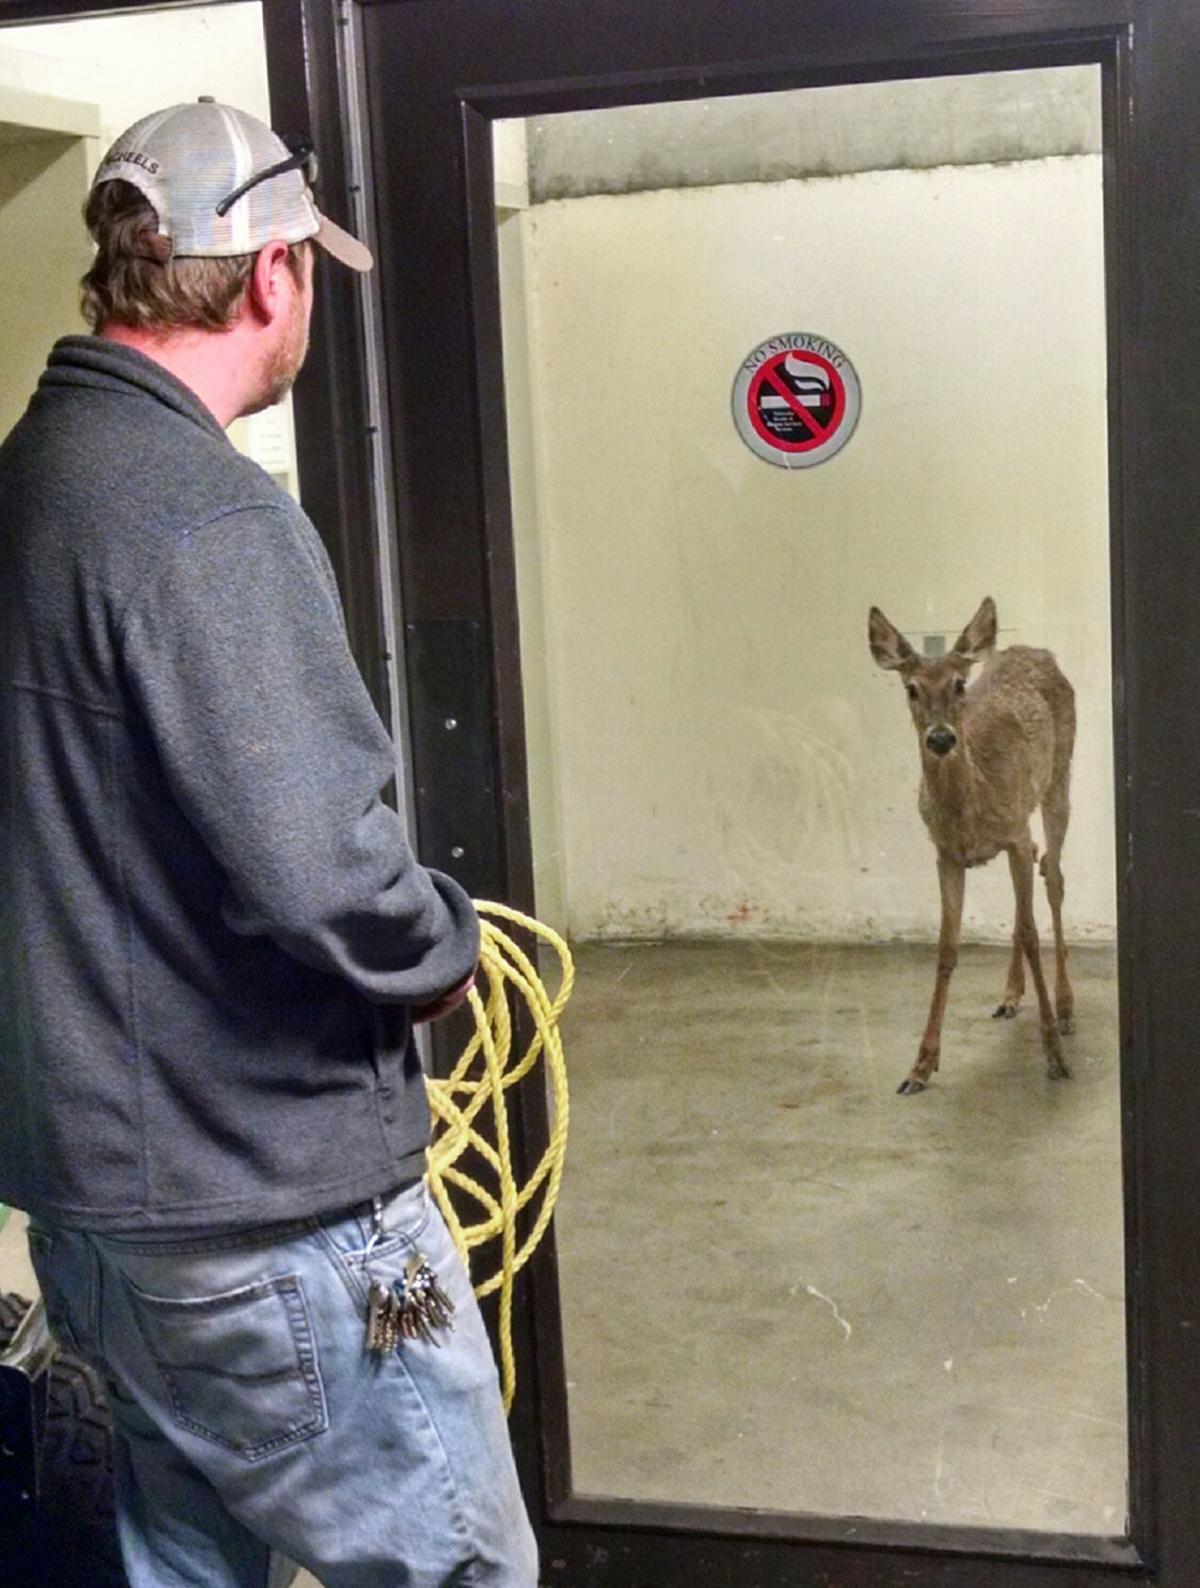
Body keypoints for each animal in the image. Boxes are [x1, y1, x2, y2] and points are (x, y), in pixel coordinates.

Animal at [868, 597, 1076, 1095]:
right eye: (911, 689)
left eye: (960, 684)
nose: (941, 737)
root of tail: (1038, 651)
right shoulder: (946, 855)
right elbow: (947, 947)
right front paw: (920, 1066)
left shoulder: (1015, 833)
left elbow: (1031, 932)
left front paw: (1054, 1056)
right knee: (1035, 878)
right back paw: (1010, 995)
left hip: (1059, 776)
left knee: (1054, 875)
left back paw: (1064, 1007)